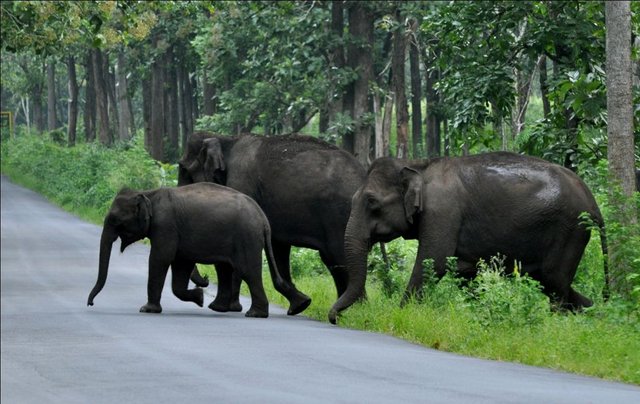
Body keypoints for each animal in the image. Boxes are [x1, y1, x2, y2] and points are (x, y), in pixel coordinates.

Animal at [86, 181, 312, 318]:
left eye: (116, 221)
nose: (90, 304)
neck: (148, 192)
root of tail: (263, 218)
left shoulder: (166, 226)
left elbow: (160, 258)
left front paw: (146, 310)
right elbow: (180, 264)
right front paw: (200, 297)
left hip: (246, 237)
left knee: (247, 271)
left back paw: (254, 314)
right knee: (227, 269)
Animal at [178, 131, 368, 310]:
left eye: (184, 169)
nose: (205, 280)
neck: (227, 139)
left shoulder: (241, 183)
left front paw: (224, 307)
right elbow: (278, 247)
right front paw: (301, 304)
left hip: (340, 215)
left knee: (339, 255)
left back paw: (355, 308)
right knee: (333, 260)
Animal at [330, 153, 608, 324]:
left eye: (371, 202)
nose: (334, 318)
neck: (418, 164)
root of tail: (593, 201)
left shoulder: (443, 212)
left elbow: (434, 263)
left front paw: (400, 316)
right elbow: (464, 271)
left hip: (570, 229)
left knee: (554, 281)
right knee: (554, 282)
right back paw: (592, 312)